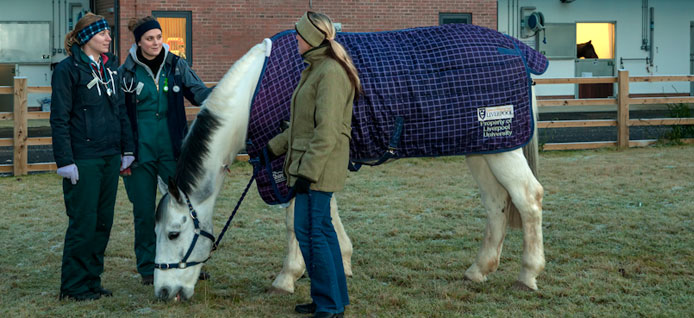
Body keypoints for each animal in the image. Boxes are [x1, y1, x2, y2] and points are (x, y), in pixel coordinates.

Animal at [155, 26, 548, 302]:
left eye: (174, 233)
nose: (162, 292)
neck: (253, 95)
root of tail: (519, 51)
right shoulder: (318, 160)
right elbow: (326, 213)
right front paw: (341, 264)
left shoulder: (292, 164)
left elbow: (293, 221)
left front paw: (286, 278)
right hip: (483, 148)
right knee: (496, 203)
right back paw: (478, 270)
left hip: (501, 148)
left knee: (528, 199)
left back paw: (528, 275)